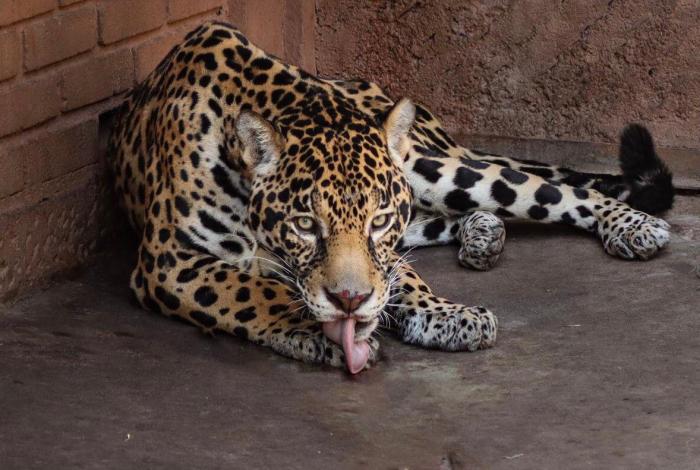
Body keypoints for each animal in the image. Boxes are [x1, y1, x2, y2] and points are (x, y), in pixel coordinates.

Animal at [108, 21, 673, 372]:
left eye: (377, 221)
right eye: (305, 225)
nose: (350, 301)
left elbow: (396, 273)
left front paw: (443, 312)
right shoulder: (170, 259)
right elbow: (252, 290)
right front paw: (312, 331)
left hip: (433, 165)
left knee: (547, 188)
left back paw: (633, 226)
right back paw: (483, 235)